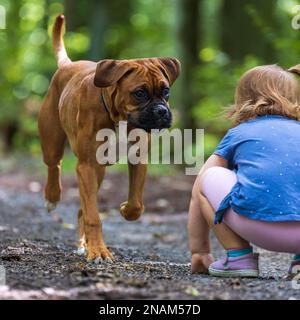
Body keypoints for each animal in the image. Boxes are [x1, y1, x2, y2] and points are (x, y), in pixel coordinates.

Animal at [38, 14, 182, 262]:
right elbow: (94, 216)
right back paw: (52, 197)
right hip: (53, 142)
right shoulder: (86, 165)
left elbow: (135, 205)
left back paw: (83, 242)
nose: (162, 111)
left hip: (100, 171)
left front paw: (124, 210)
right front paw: (98, 250)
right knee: (54, 165)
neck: (119, 119)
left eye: (166, 91)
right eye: (139, 93)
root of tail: (68, 65)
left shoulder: (138, 161)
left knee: (83, 206)